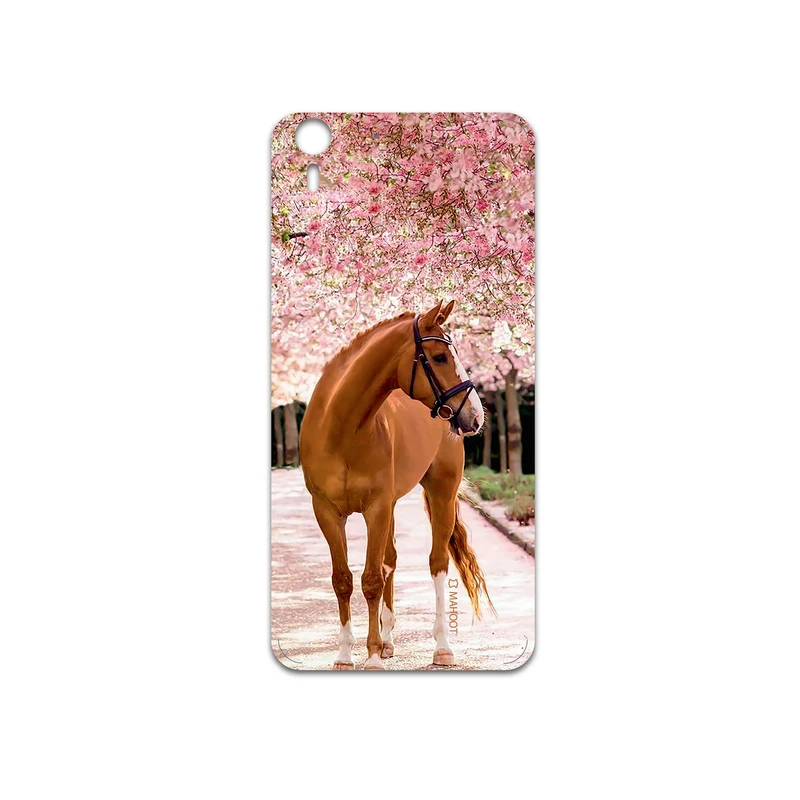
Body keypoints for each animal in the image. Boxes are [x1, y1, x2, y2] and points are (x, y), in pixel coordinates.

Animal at [299, 300, 494, 670]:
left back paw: (441, 647)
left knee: (437, 563)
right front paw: (345, 654)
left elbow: (371, 579)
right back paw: (389, 641)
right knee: (390, 560)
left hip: (441, 494)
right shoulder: (327, 512)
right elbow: (343, 579)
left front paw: (372, 655)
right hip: (390, 506)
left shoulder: (375, 508)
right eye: (440, 357)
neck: (342, 430)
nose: (475, 416)